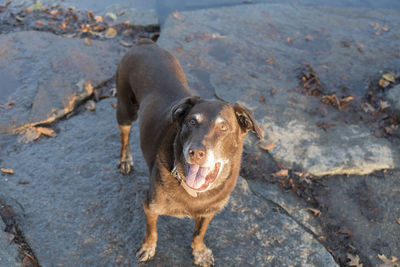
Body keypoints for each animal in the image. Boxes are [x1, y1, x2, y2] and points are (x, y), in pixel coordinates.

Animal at [115, 38, 262, 266]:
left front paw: (199, 251)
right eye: (191, 122)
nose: (196, 152)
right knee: (124, 135)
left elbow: (199, 233)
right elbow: (152, 231)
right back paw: (125, 160)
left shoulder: (209, 211)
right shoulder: (150, 206)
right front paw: (148, 247)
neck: (195, 192)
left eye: (223, 127)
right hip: (125, 108)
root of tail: (144, 43)